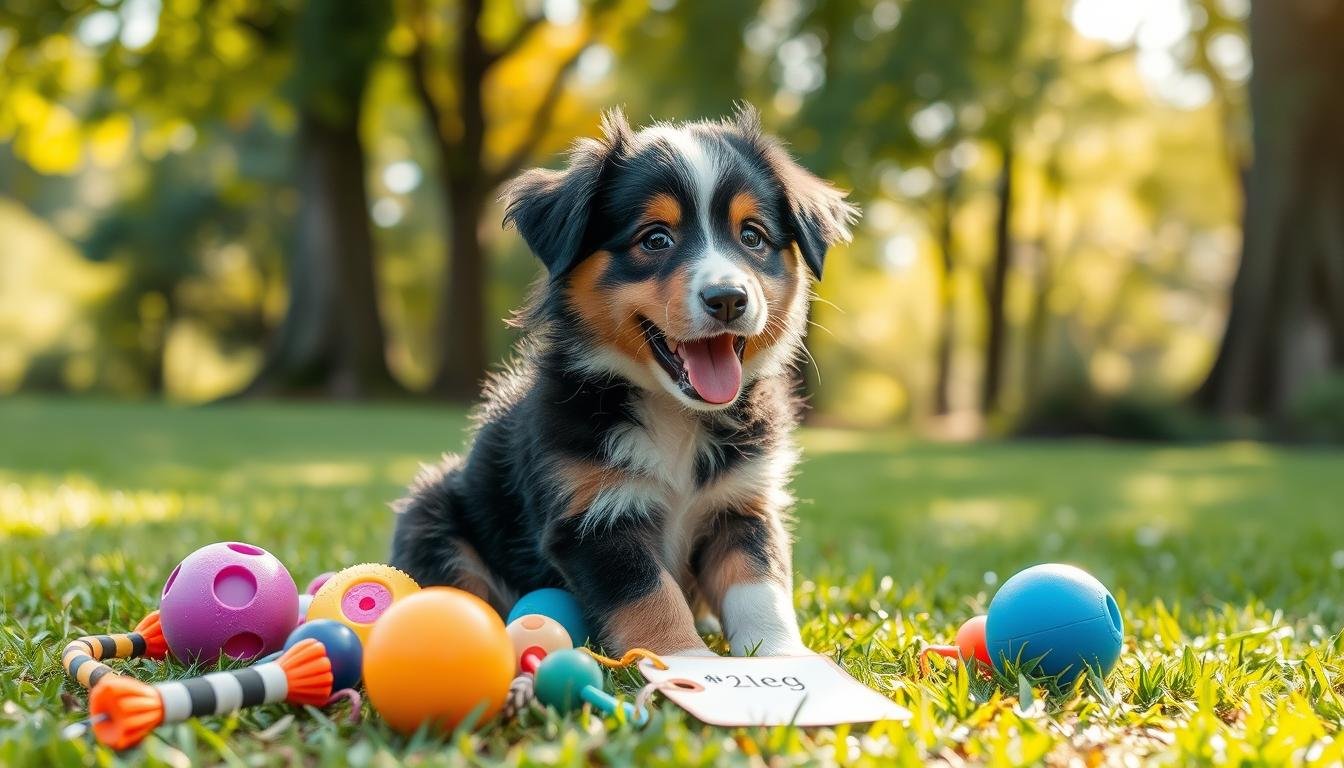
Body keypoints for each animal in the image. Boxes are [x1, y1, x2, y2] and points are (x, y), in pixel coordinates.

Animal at [389, 106, 854, 656]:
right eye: (655, 239)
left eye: (752, 237)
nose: (728, 298)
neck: (675, 414)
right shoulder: (591, 519)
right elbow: (650, 597)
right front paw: (686, 659)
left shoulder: (742, 505)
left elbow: (760, 588)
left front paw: (784, 657)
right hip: (431, 514)